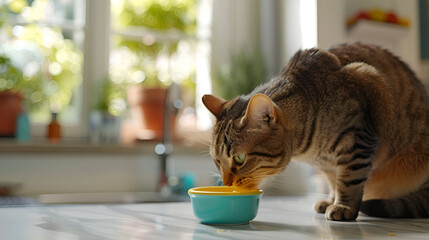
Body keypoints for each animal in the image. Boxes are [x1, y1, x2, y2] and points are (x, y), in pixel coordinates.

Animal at [202, 43, 428, 221]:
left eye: (239, 159)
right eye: (217, 160)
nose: (226, 182)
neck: (310, 150)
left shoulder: (357, 139)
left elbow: (349, 179)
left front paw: (344, 206)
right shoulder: (326, 165)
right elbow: (333, 181)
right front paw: (330, 200)